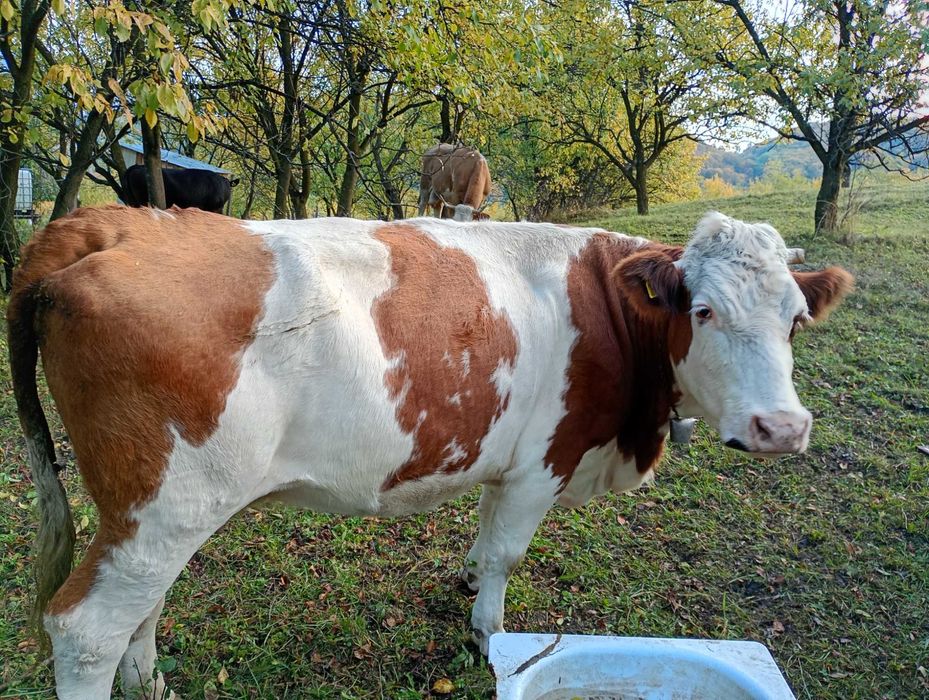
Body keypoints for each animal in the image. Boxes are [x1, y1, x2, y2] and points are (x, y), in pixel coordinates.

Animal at [8, 206, 852, 699]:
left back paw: (149, 682)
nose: (781, 427)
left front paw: (467, 580)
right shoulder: (545, 460)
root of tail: (108, 223)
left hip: (156, 511)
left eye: (796, 319)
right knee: (86, 630)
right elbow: (507, 554)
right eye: (702, 311)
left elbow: (482, 537)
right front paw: (488, 634)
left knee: (140, 604)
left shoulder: (505, 459)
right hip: (165, 500)